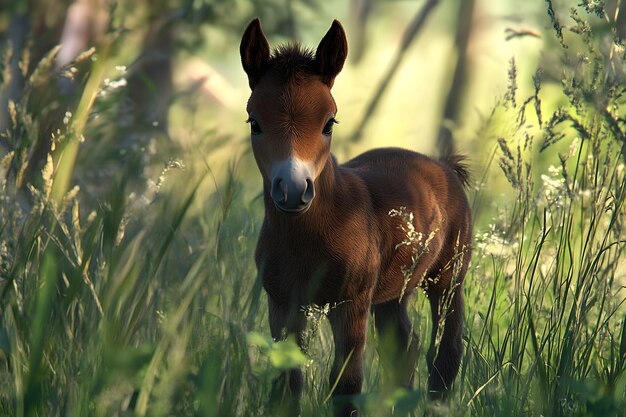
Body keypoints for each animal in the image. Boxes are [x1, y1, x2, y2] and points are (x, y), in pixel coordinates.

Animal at [239, 17, 468, 414]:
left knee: (445, 352)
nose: (293, 190)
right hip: (394, 293)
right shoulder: (282, 302)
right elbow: (287, 381)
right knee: (404, 350)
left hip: (448, 278)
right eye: (255, 122)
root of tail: (445, 166)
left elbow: (346, 383)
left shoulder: (351, 302)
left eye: (329, 122)